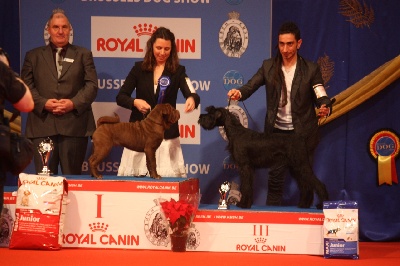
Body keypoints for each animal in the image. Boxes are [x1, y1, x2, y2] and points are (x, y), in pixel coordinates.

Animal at [198, 106, 330, 210]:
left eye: (211, 113)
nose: (200, 117)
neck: (236, 131)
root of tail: (301, 138)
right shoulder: (248, 168)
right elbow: (248, 186)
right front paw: (247, 203)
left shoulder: (245, 167)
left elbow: (245, 186)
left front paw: (243, 204)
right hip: (296, 168)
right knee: (306, 186)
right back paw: (303, 204)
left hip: (301, 165)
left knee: (318, 184)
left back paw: (321, 205)